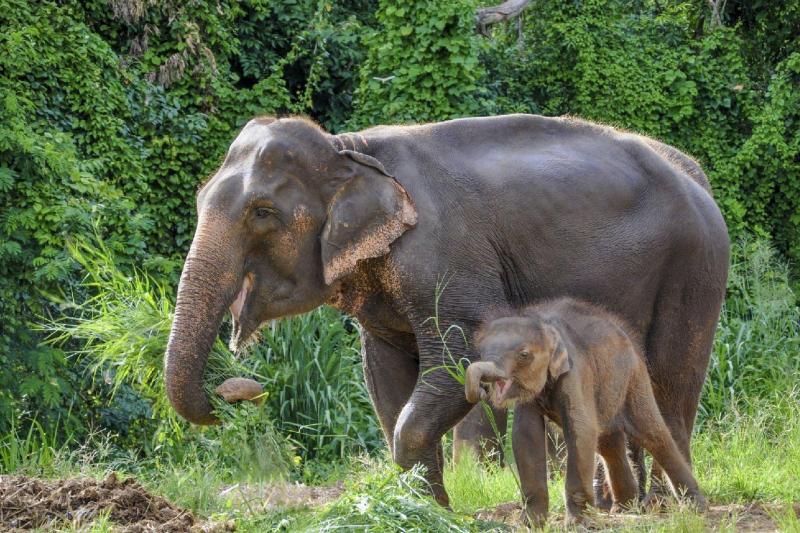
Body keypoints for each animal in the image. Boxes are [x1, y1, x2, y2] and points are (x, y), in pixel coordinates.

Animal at [465, 298, 707, 524]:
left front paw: (577, 523)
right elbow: (526, 436)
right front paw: (532, 523)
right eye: (481, 351)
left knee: (655, 436)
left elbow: (581, 430)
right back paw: (624, 509)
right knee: (609, 445)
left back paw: (696, 507)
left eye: (524, 355)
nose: (481, 388)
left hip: (634, 380)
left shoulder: (576, 372)